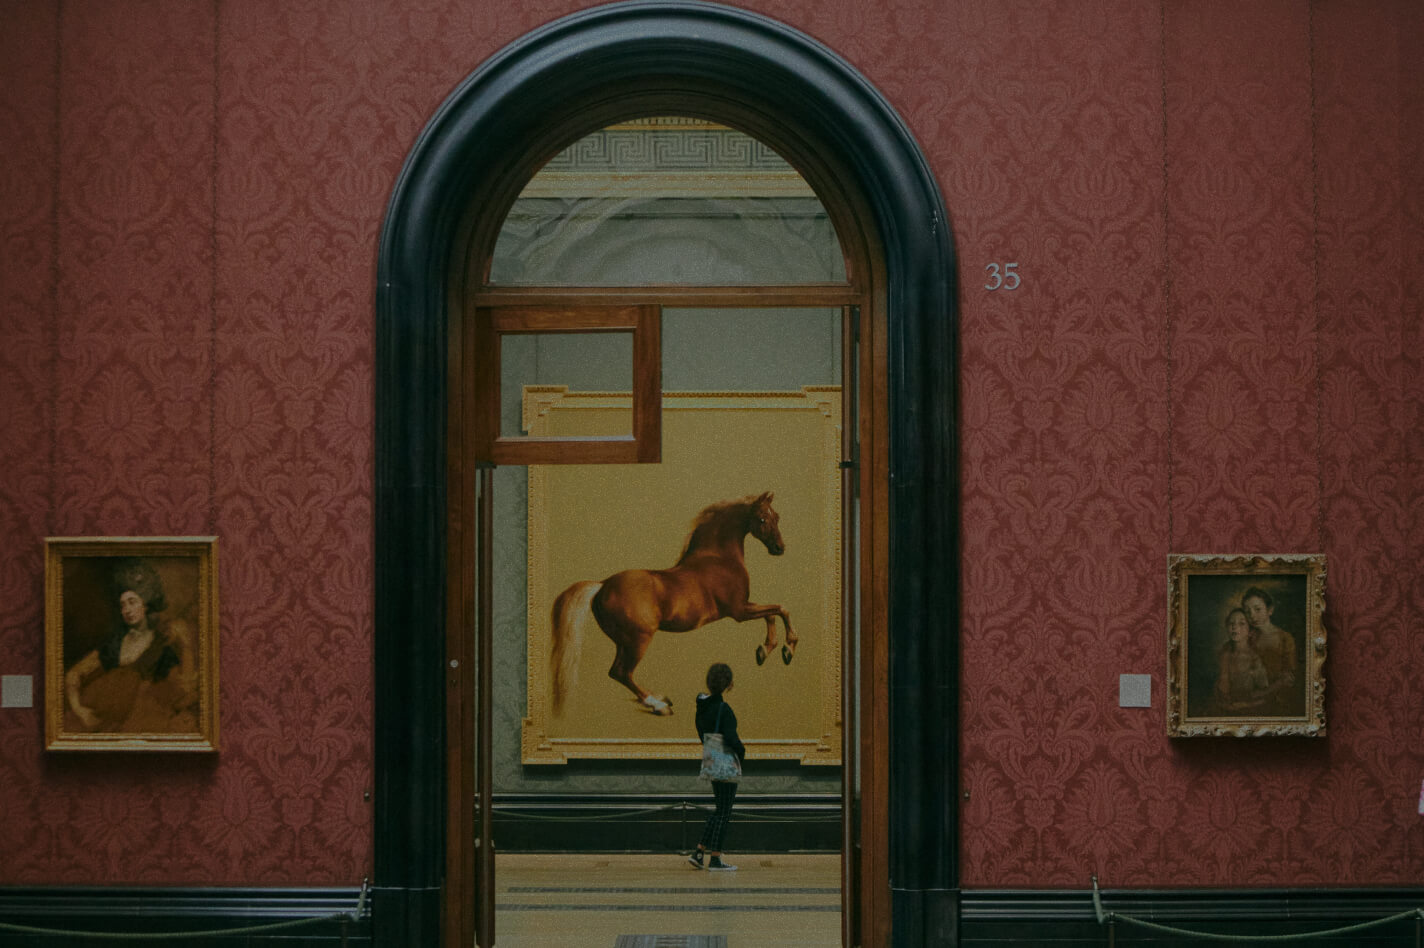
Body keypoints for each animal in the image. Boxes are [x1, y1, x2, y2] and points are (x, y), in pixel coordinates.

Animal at [549, 489, 797, 711]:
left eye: (777, 517)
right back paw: (658, 704)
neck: (718, 559)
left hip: (623, 641)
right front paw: (788, 649)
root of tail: (602, 585)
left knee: (617, 672)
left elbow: (772, 615)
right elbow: (780, 609)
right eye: (762, 519)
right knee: (621, 672)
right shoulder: (739, 611)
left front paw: (764, 651)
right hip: (639, 639)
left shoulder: (745, 607)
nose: (780, 548)